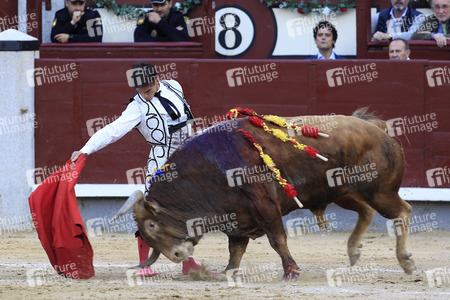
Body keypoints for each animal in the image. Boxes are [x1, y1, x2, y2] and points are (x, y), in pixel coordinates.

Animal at [115, 109, 414, 280]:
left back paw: (406, 262)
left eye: (152, 225)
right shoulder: (236, 217)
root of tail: (378, 128)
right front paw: (227, 273)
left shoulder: (264, 205)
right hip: (343, 191)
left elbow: (277, 239)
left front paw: (291, 272)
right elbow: (235, 248)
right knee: (366, 211)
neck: (207, 169)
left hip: (379, 190)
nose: (177, 255)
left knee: (402, 211)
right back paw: (353, 252)